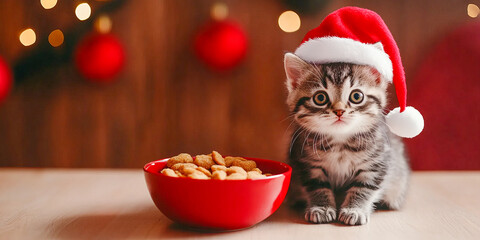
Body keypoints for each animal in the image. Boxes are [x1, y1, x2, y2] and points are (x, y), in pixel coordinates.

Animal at [284, 51, 410, 226]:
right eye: (320, 98)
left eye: (356, 96)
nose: (339, 111)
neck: (340, 143)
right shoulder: (307, 163)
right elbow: (317, 186)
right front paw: (321, 208)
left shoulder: (377, 162)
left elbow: (364, 187)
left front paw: (354, 210)